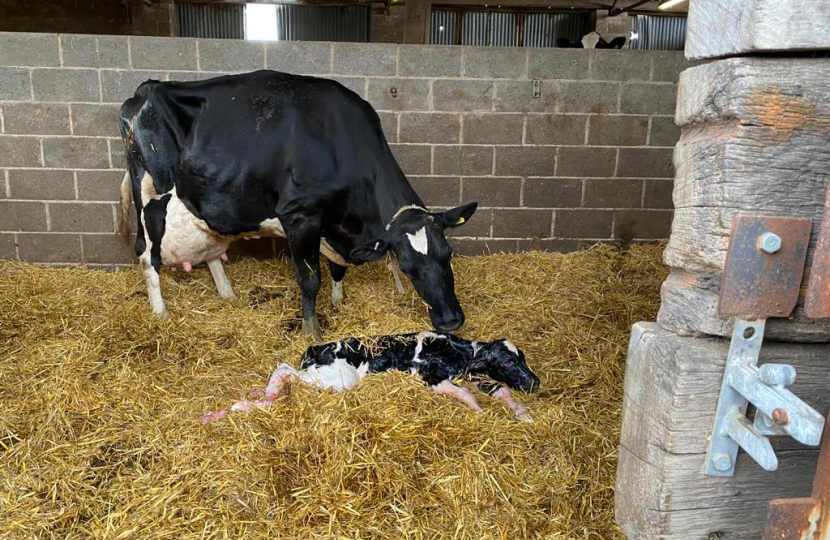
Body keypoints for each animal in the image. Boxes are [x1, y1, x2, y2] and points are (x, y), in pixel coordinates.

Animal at [119, 69, 478, 340]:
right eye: (406, 266)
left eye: (448, 254)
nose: (451, 320)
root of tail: (147, 89)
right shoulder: (299, 217)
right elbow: (310, 279)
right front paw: (312, 330)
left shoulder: (334, 224)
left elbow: (336, 269)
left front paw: (338, 301)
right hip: (150, 198)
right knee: (146, 255)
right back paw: (160, 314)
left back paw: (227, 295)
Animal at [199, 332, 544, 424]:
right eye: (508, 359)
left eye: (523, 357)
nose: (536, 382)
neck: (458, 351)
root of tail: (315, 349)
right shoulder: (431, 376)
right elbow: (465, 395)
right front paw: (478, 411)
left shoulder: (473, 376)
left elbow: (502, 392)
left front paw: (524, 415)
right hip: (337, 379)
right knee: (284, 370)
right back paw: (240, 407)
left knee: (282, 374)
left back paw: (250, 398)